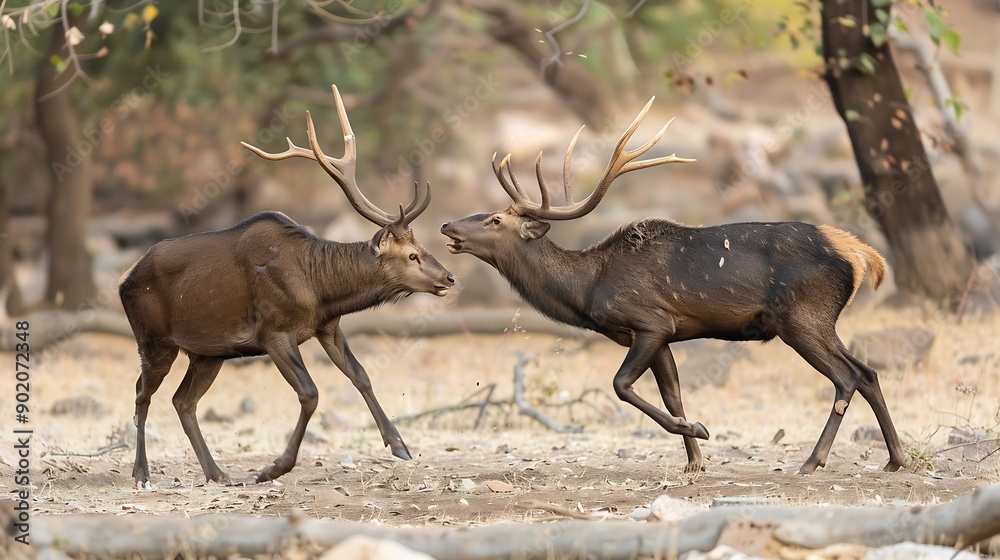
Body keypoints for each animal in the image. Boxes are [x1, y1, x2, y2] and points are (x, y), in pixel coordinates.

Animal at [119, 85, 454, 487]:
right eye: (412, 255)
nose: (449, 277)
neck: (320, 290)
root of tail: (124, 281)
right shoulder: (274, 332)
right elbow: (310, 393)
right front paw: (274, 468)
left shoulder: (328, 327)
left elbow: (361, 376)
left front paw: (400, 445)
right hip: (153, 339)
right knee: (142, 393)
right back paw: (141, 472)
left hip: (207, 352)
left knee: (183, 401)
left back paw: (218, 473)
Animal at [440, 98, 907, 475]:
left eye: (494, 220)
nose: (447, 225)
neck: (587, 290)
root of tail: (861, 254)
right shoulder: (664, 336)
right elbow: (673, 395)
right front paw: (695, 460)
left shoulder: (650, 322)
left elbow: (621, 385)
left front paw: (699, 430)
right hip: (823, 320)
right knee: (868, 373)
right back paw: (895, 458)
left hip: (801, 317)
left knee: (846, 378)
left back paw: (812, 461)